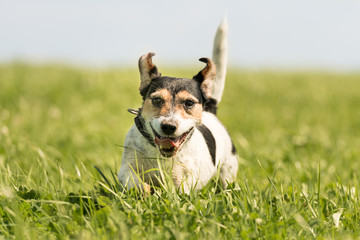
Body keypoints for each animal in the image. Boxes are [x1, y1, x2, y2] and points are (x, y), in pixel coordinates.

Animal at [116, 19, 238, 195]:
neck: (161, 155)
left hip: (228, 170)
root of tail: (211, 111)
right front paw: (145, 190)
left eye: (189, 103)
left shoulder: (190, 178)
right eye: (157, 100)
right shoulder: (126, 168)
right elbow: (133, 179)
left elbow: (180, 188)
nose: (168, 126)